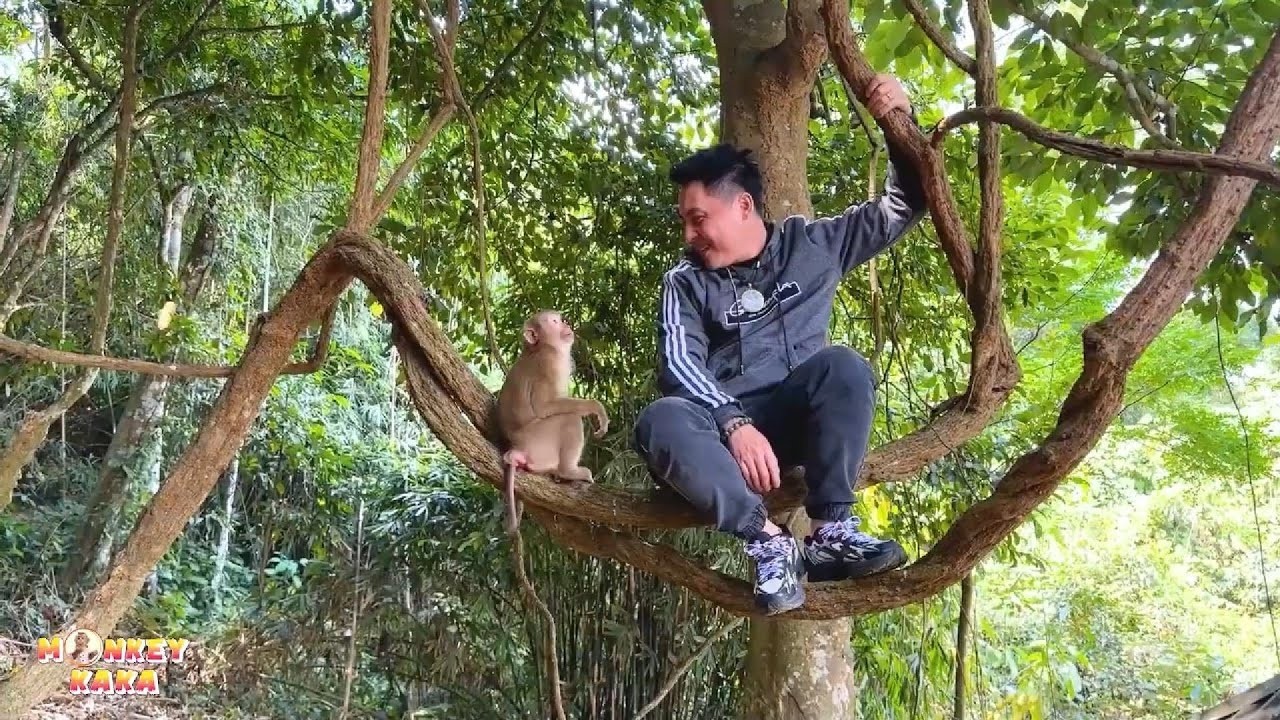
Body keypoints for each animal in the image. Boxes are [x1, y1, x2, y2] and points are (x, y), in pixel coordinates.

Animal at [495, 310, 608, 534]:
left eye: (560, 319)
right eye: (554, 322)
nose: (566, 324)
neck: (540, 347)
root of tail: (516, 447)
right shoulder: (549, 364)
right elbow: (544, 406)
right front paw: (596, 407)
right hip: (540, 442)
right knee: (569, 419)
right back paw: (569, 471)